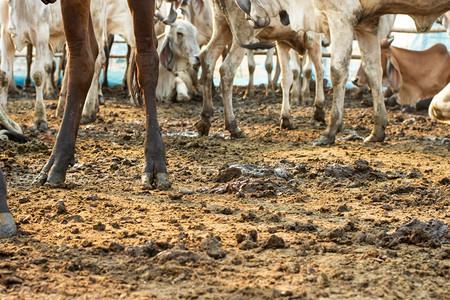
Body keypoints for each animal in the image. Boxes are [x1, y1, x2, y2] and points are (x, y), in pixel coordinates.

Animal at [37, 0, 171, 190]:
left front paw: (155, 162)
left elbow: (146, 59)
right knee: (92, 49)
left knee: (146, 53)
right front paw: (58, 160)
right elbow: (81, 59)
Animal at [236, 0, 450, 144]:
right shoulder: (367, 23)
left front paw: (330, 131)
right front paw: (377, 131)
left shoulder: (340, 16)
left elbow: (337, 71)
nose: (248, 18)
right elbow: (373, 72)